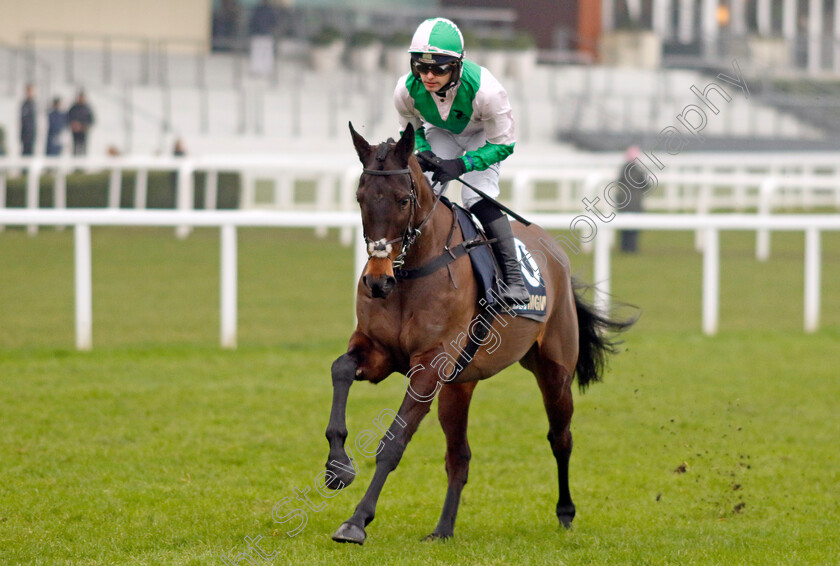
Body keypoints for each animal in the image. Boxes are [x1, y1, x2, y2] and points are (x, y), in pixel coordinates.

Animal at [322, 123, 632, 544]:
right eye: (360, 197)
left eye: (403, 200)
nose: (376, 281)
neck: (413, 271)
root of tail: (554, 250)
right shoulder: (378, 351)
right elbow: (340, 368)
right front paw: (337, 466)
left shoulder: (429, 367)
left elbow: (393, 442)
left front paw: (356, 521)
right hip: (459, 386)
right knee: (460, 456)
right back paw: (443, 529)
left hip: (554, 371)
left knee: (560, 437)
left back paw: (565, 513)